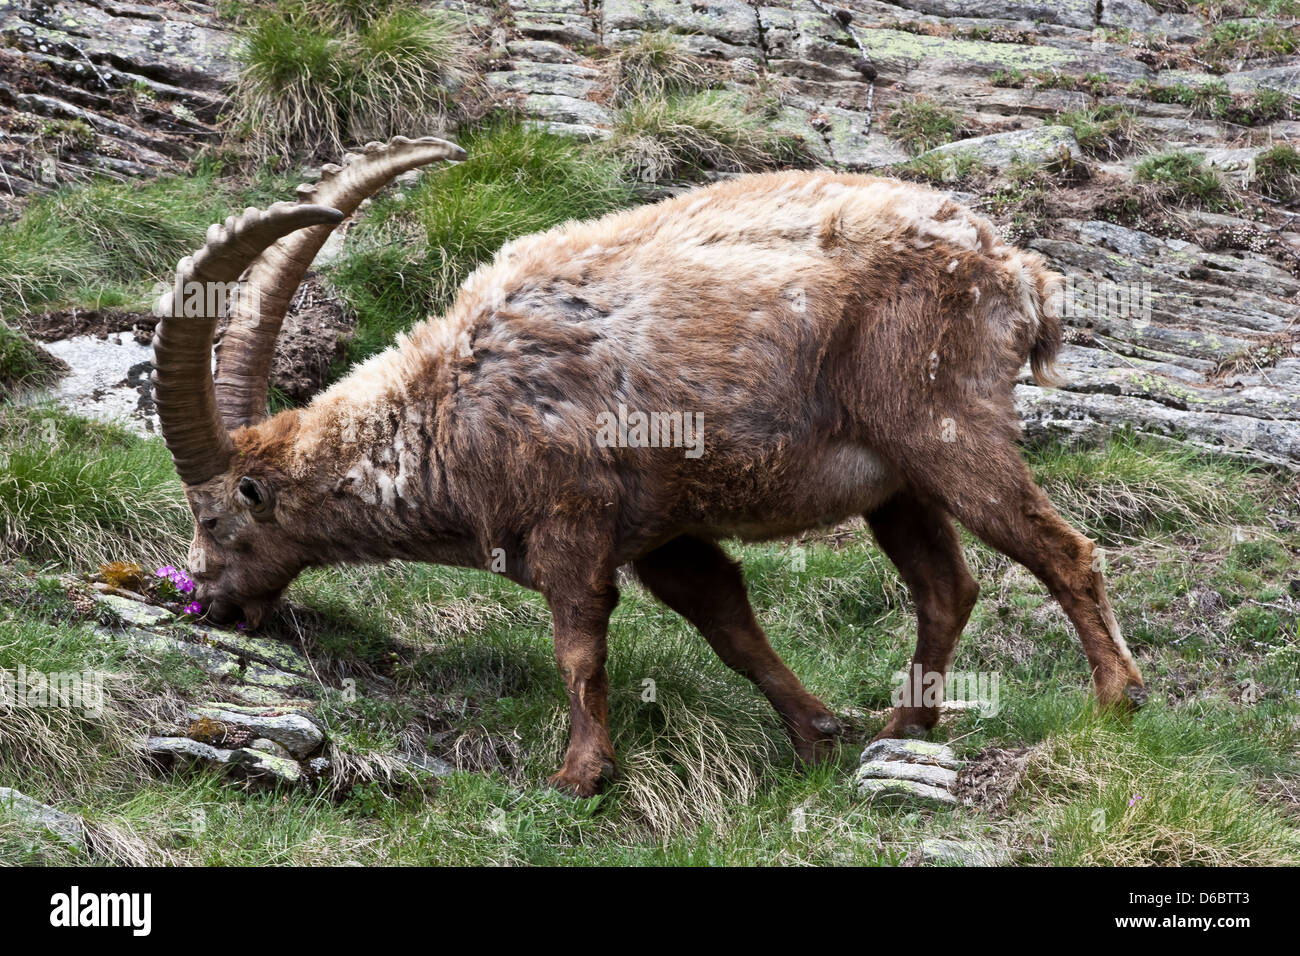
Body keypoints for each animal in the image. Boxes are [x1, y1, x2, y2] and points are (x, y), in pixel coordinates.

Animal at [152, 135, 1146, 796]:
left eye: (216, 515)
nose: (206, 601)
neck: (447, 408)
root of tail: (1018, 272)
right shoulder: (664, 532)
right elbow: (726, 620)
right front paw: (817, 733)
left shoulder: (574, 518)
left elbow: (579, 645)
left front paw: (580, 775)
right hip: (896, 481)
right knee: (947, 585)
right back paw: (905, 725)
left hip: (946, 426)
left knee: (1064, 552)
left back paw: (1115, 703)